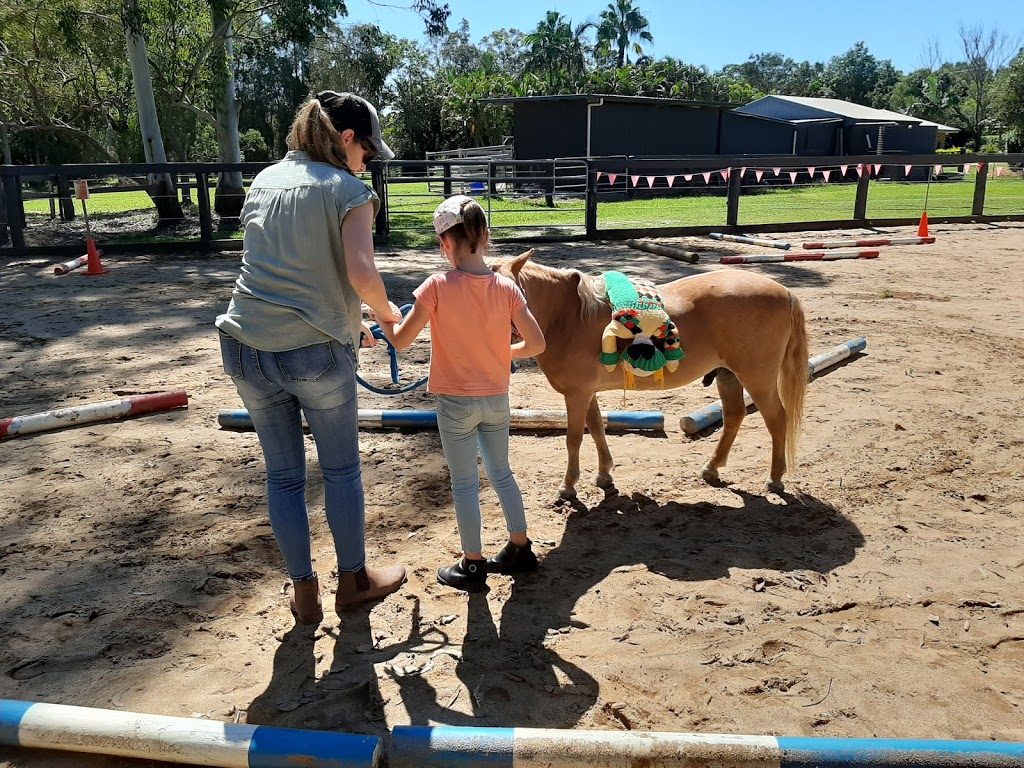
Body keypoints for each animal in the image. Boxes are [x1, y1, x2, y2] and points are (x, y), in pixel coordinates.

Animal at [495, 252, 806, 501]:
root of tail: (786, 292)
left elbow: (574, 438)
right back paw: (711, 469)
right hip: (728, 376)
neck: (568, 316)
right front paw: (604, 476)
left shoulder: (576, 394)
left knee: (777, 419)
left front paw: (568, 486)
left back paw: (775, 479)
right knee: (734, 416)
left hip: (758, 379)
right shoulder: (586, 392)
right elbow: (596, 428)